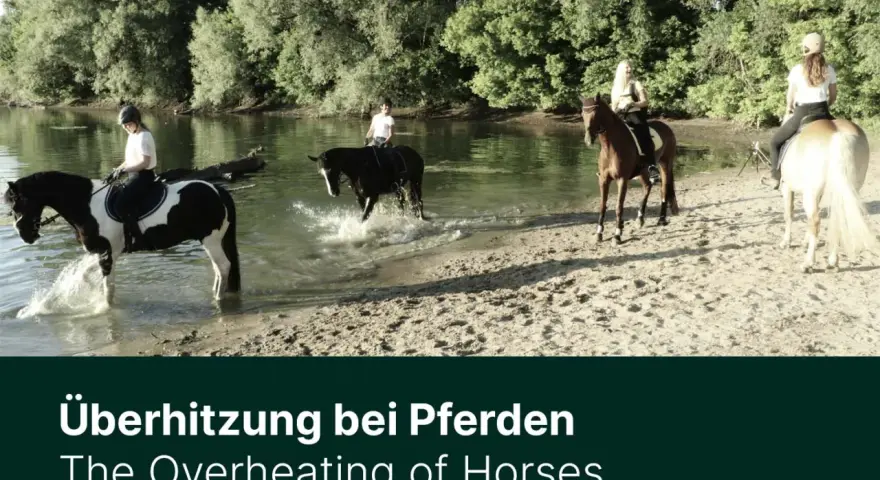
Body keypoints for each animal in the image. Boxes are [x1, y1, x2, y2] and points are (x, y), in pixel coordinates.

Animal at [3, 171, 241, 304]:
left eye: (18, 202)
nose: (24, 234)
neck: (87, 205)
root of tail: (218, 191)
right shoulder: (107, 253)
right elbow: (87, 275)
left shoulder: (107, 254)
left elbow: (108, 288)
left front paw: (104, 310)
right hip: (212, 241)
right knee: (219, 268)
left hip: (211, 240)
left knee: (223, 266)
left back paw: (217, 299)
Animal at [580, 93, 679, 244]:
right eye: (582, 113)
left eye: (595, 113)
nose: (588, 139)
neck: (611, 146)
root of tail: (666, 127)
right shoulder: (603, 180)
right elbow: (602, 205)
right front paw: (599, 233)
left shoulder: (622, 179)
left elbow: (618, 206)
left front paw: (617, 235)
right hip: (643, 171)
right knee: (647, 186)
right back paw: (640, 218)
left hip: (665, 164)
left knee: (664, 189)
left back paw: (661, 219)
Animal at [770, 114, 875, 272]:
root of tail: (839, 135)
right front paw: (804, 241)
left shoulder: (787, 187)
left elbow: (789, 214)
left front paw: (786, 242)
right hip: (846, 189)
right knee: (838, 220)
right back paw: (833, 262)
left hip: (810, 192)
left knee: (815, 222)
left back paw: (808, 263)